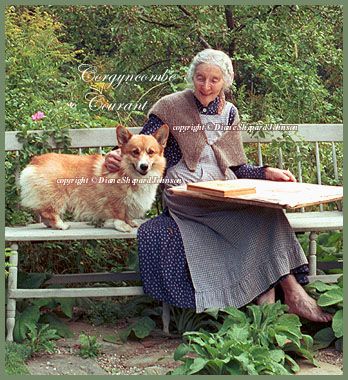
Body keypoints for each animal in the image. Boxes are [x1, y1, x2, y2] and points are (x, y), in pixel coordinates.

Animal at [19, 124, 169, 232]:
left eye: (151, 152)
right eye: (135, 152)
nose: (144, 166)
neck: (127, 173)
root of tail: (36, 160)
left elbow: (127, 215)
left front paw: (130, 223)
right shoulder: (116, 201)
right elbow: (119, 215)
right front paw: (123, 226)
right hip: (56, 195)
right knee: (48, 212)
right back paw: (61, 225)